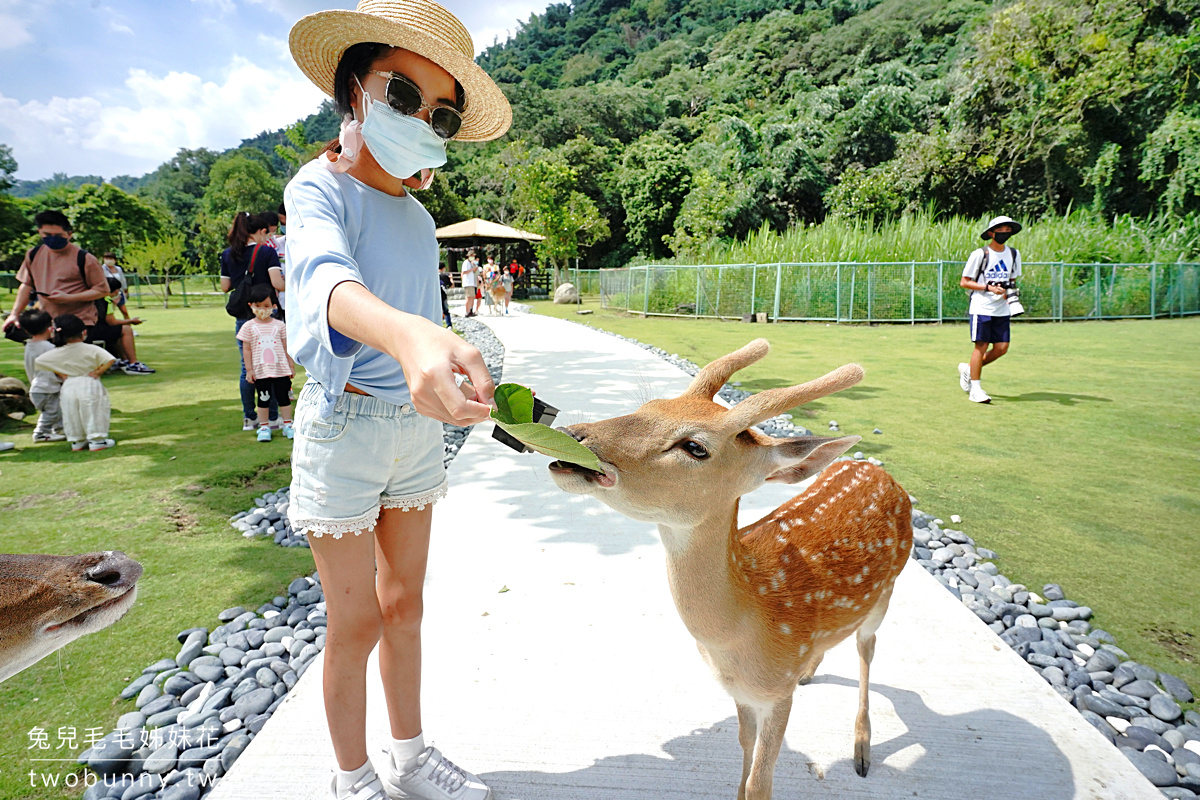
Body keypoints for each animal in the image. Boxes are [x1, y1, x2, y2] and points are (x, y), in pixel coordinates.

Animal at [549, 340, 907, 800]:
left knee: (867, 648)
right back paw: (810, 672)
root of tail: (880, 472)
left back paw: (862, 749)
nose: (569, 437)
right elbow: (743, 744)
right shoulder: (738, 691)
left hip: (887, 591)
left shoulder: (777, 695)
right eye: (647, 406)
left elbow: (760, 782)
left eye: (695, 447)